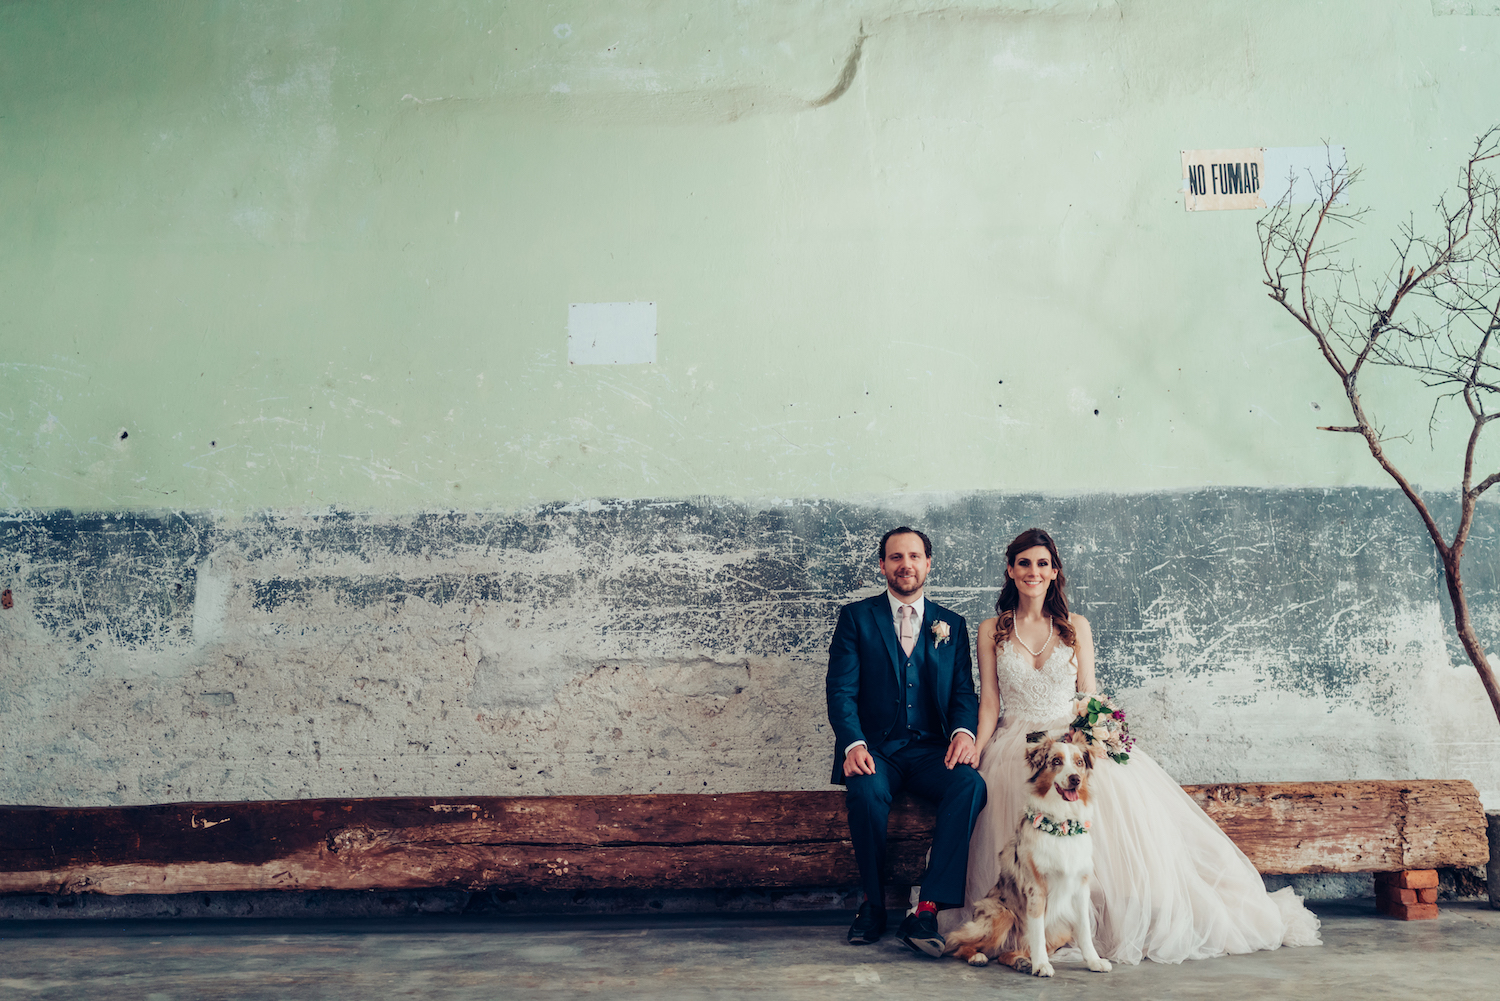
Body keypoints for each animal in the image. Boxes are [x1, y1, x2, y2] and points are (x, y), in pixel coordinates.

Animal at [942, 729, 1110, 978]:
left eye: (1079, 762)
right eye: (1056, 761)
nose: (1075, 779)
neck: (1062, 825)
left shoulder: (1081, 887)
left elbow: (1085, 931)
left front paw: (1094, 961)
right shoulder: (1035, 888)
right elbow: (1037, 930)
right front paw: (1041, 965)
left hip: (1060, 929)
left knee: (1008, 953)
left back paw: (1021, 961)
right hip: (1002, 914)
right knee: (958, 943)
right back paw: (977, 956)